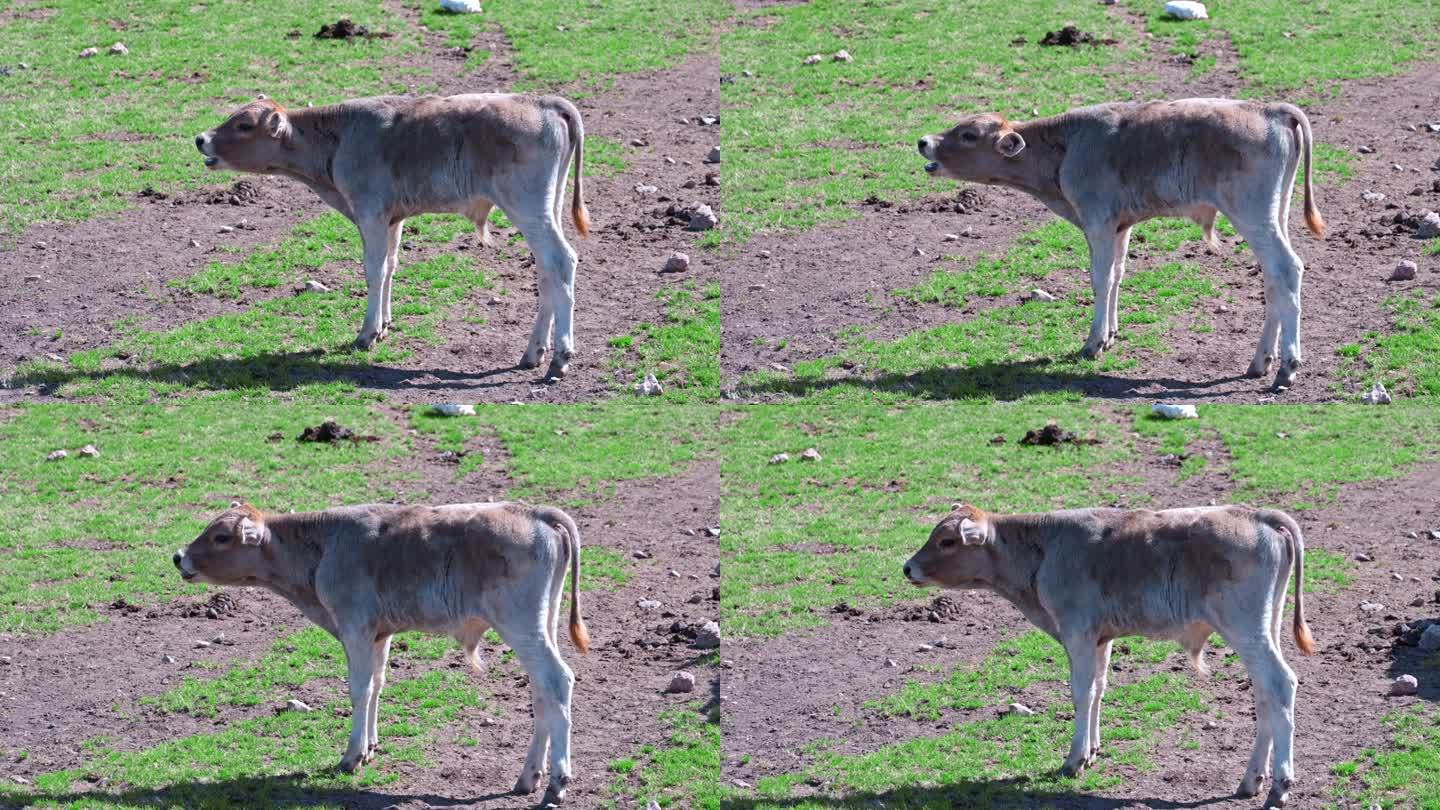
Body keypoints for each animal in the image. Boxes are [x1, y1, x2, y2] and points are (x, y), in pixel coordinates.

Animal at [175, 498, 590, 801]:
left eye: (221, 536)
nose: (179, 556)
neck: (324, 545)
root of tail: (533, 512)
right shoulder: (379, 634)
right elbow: (376, 685)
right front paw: (370, 746)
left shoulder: (355, 627)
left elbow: (359, 690)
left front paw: (351, 756)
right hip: (541, 625)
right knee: (542, 694)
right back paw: (529, 777)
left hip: (521, 626)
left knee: (557, 681)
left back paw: (556, 782)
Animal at [197, 95, 590, 380]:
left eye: (244, 125)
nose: (201, 138)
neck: (340, 136)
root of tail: (543, 102)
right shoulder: (392, 219)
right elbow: (390, 266)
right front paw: (384, 324)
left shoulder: (370, 212)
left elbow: (373, 269)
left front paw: (367, 333)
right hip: (546, 209)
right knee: (547, 273)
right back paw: (534, 352)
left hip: (528, 209)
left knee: (561, 261)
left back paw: (560, 357)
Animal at [910, 501, 1319, 801]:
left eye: (947, 541)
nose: (907, 567)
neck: (1045, 546)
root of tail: (1257, 514)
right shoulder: (1099, 639)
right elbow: (1098, 690)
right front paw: (1091, 751)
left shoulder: (1077, 632)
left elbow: (1081, 692)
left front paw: (1073, 759)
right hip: (1264, 629)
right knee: (1265, 696)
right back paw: (1251, 780)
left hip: (1246, 629)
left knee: (1280, 684)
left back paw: (1279, 785)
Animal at [921, 99, 1324, 389]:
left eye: (969, 134)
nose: (924, 141)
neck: (1066, 144)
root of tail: (1269, 110)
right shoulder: (1119, 226)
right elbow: (1117, 274)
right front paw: (1111, 334)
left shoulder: (1097, 221)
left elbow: (1099, 278)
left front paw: (1093, 343)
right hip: (1274, 215)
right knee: (1274, 282)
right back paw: (1261, 362)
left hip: (1252, 215)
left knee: (1287, 269)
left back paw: (1286, 368)